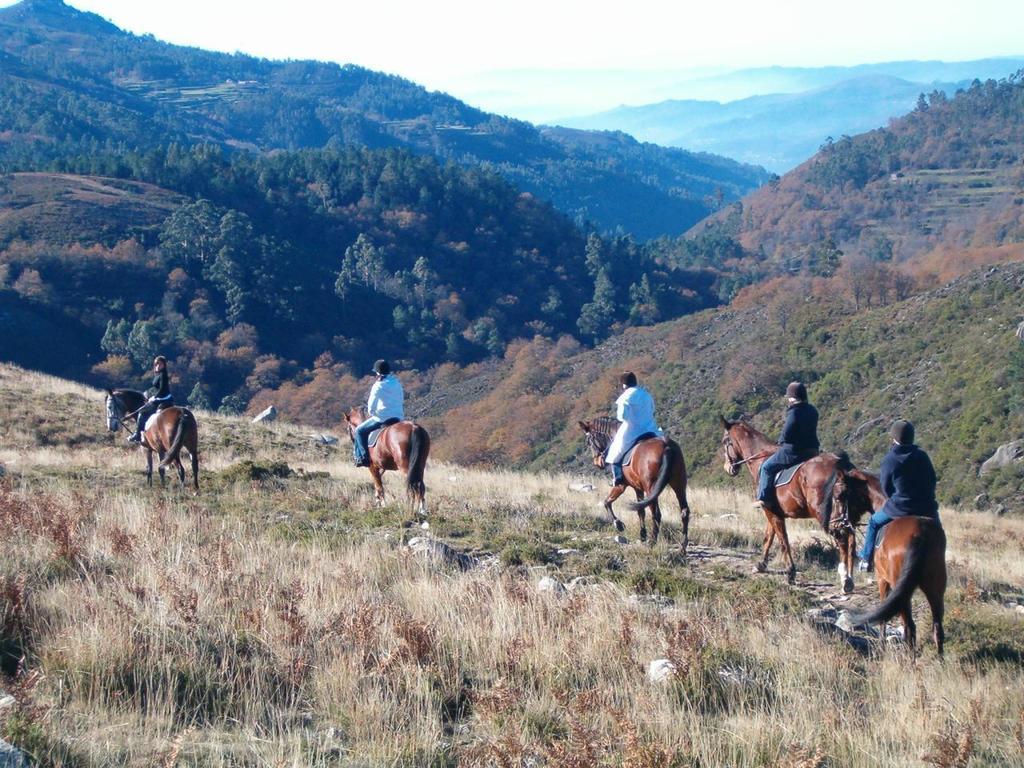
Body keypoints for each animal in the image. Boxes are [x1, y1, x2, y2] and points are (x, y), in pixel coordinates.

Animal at [581, 417, 692, 557]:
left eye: (589, 442)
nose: (597, 463)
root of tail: (667, 446)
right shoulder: (638, 488)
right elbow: (640, 511)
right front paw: (642, 535)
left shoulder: (622, 485)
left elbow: (607, 502)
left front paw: (619, 524)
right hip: (679, 484)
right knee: (684, 511)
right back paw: (682, 547)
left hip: (651, 488)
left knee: (656, 514)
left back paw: (653, 541)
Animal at [720, 417, 872, 593]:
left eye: (725, 441)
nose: (728, 468)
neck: (761, 459)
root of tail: (842, 465)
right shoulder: (772, 511)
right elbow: (768, 537)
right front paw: (761, 565)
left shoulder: (771, 512)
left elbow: (783, 541)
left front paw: (790, 573)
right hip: (848, 516)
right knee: (852, 541)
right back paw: (850, 578)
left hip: (828, 516)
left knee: (842, 539)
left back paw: (845, 580)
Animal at [843, 518, 946, 655]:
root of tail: (920, 534)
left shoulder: (882, 581)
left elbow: (883, 613)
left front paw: (882, 645)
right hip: (935, 587)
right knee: (937, 627)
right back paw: (939, 658)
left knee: (910, 627)